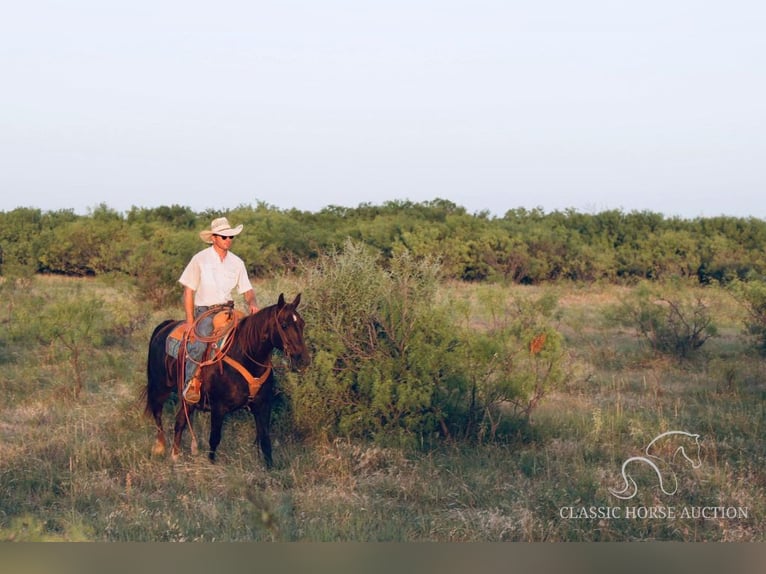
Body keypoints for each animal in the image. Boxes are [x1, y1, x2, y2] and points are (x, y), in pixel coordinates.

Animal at [146, 294, 308, 470]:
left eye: (302, 323)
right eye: (284, 325)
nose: (303, 360)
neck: (245, 354)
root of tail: (165, 326)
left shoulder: (263, 405)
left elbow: (265, 440)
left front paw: (270, 470)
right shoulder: (218, 407)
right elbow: (214, 439)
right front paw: (211, 465)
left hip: (186, 399)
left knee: (180, 421)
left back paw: (175, 456)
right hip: (160, 388)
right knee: (158, 415)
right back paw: (160, 447)